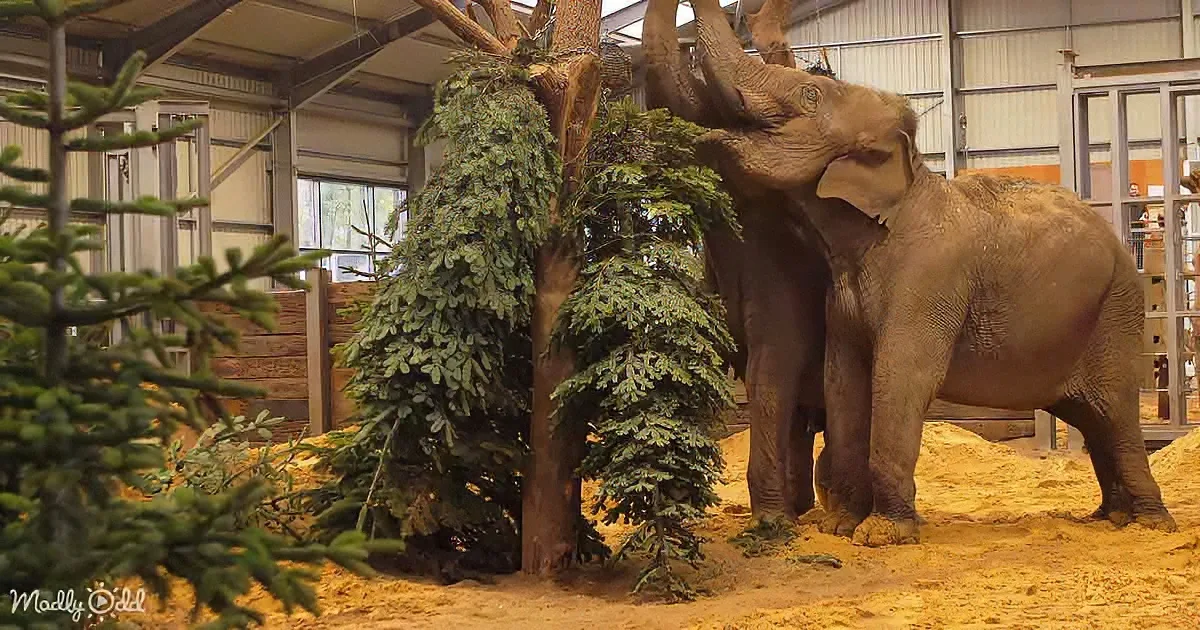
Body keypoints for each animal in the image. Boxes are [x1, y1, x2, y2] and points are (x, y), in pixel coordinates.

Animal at [670, 0, 1178, 546]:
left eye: (810, 94)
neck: (908, 180)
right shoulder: (842, 298)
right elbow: (842, 378)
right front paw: (838, 527)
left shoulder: (929, 281)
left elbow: (901, 375)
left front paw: (881, 534)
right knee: (1091, 416)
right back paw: (1110, 517)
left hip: (1115, 313)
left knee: (1114, 414)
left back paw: (1151, 524)